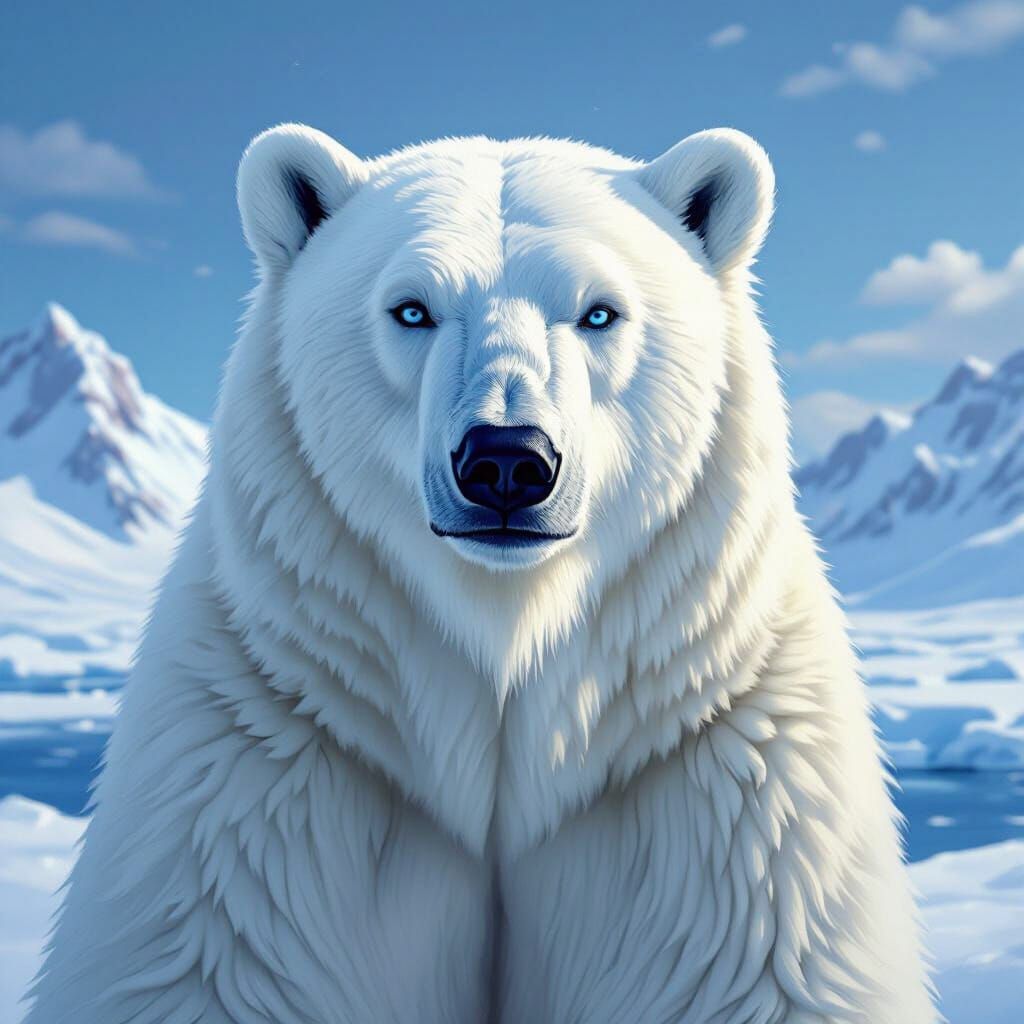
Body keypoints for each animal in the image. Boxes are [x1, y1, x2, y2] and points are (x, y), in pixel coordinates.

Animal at [25, 124, 935, 1024]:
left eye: (599, 311)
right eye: (412, 309)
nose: (507, 460)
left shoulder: (721, 772)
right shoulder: (268, 755)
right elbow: (212, 962)